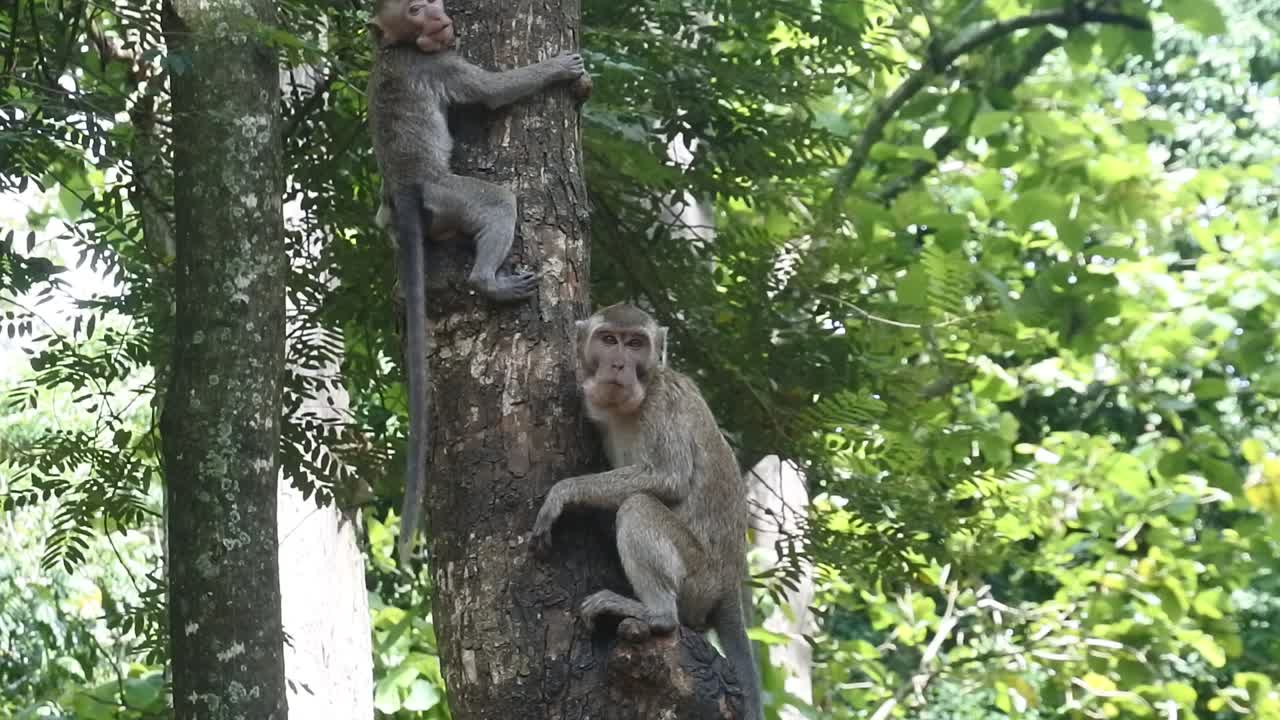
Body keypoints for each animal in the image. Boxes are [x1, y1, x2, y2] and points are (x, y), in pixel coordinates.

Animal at [366, 0, 588, 569]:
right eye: (417, 11)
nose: (438, 15)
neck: (397, 47)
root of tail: (406, 190)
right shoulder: (440, 65)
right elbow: (491, 92)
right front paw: (559, 69)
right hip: (450, 195)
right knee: (498, 201)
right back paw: (488, 283)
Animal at [529, 304, 763, 720]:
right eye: (609, 340)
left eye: (636, 343)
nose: (619, 364)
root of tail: (727, 583)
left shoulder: (661, 402)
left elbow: (668, 479)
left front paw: (562, 492)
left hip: (698, 579)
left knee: (638, 506)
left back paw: (657, 614)